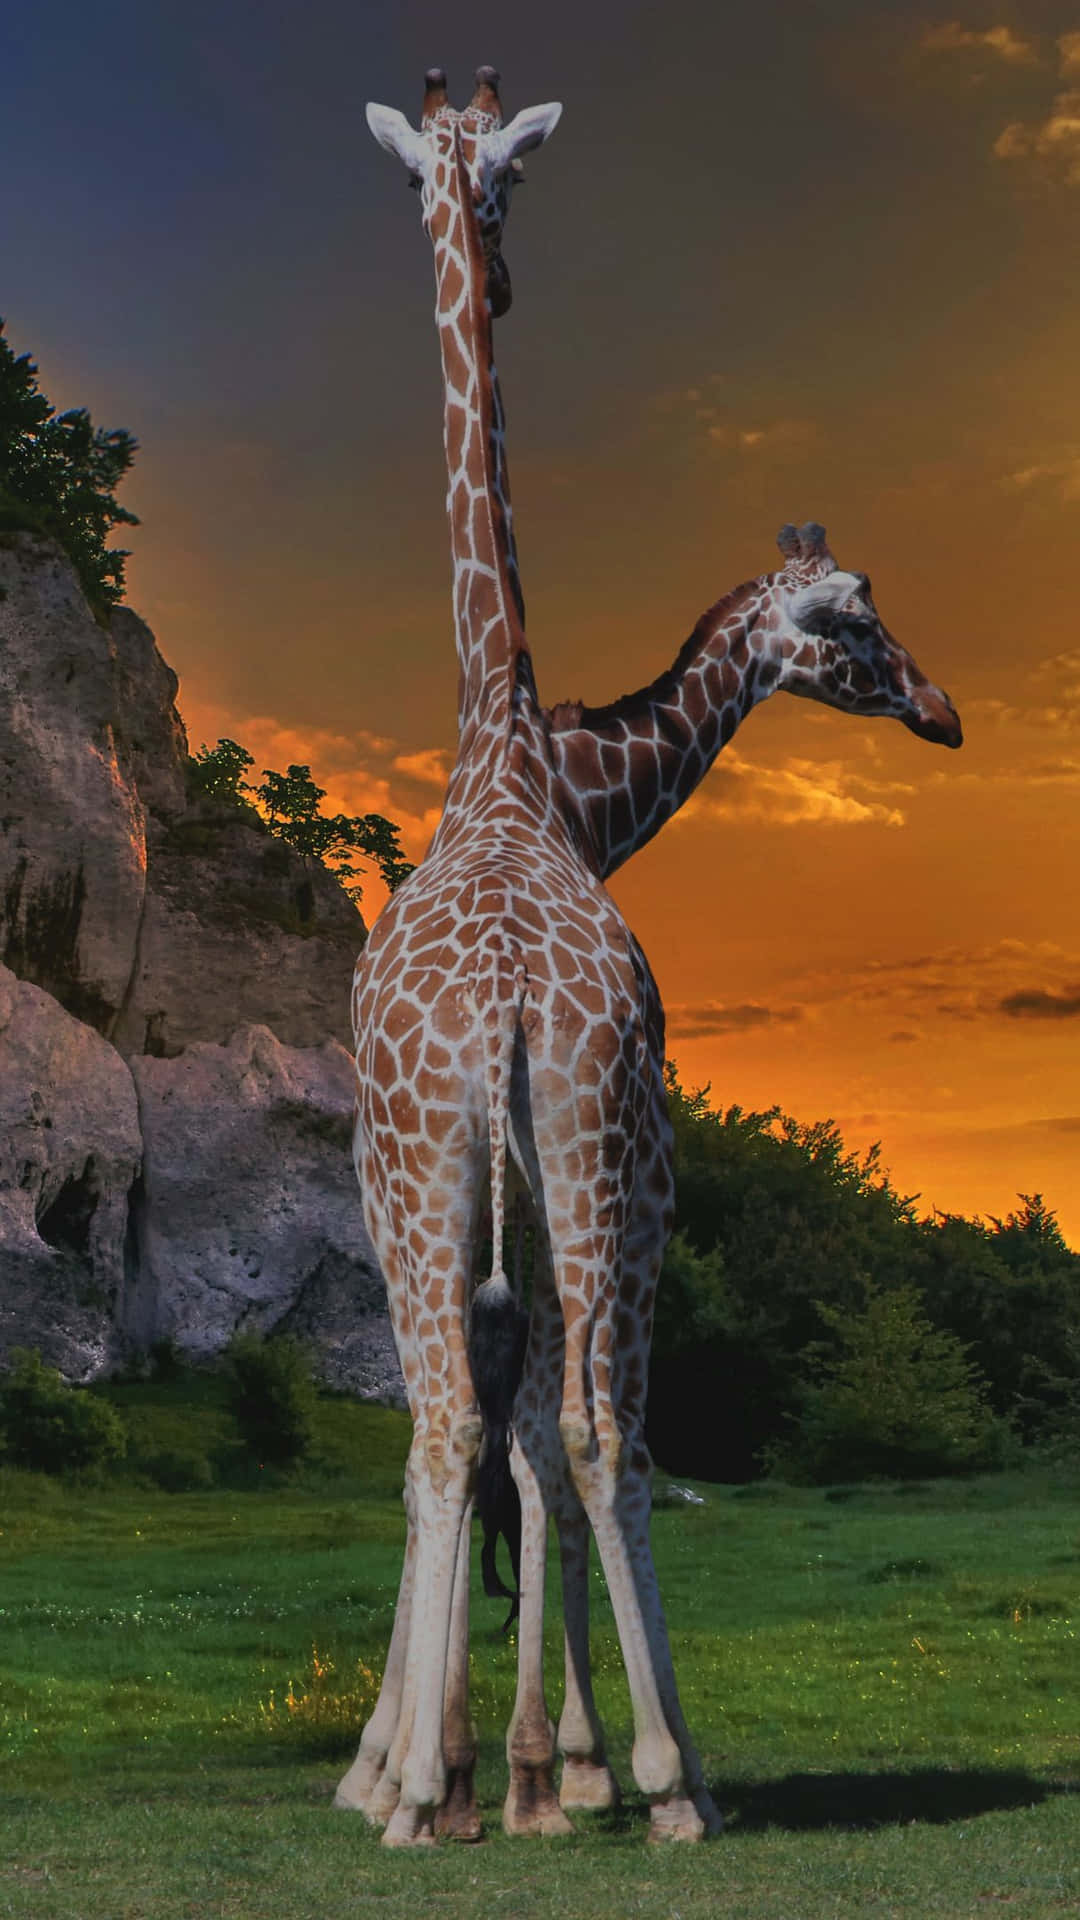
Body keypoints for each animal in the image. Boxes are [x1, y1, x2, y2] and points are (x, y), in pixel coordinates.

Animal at [336, 69, 963, 1847]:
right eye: (854, 616)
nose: (946, 710)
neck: (527, 765)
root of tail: (503, 1004)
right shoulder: (614, 1175)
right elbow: (549, 1442)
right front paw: (557, 1765)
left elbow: (501, 1444)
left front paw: (509, 1766)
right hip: (575, 1170)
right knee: (572, 1430)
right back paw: (637, 1776)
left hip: (454, 1178)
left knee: (469, 1427)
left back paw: (446, 1781)